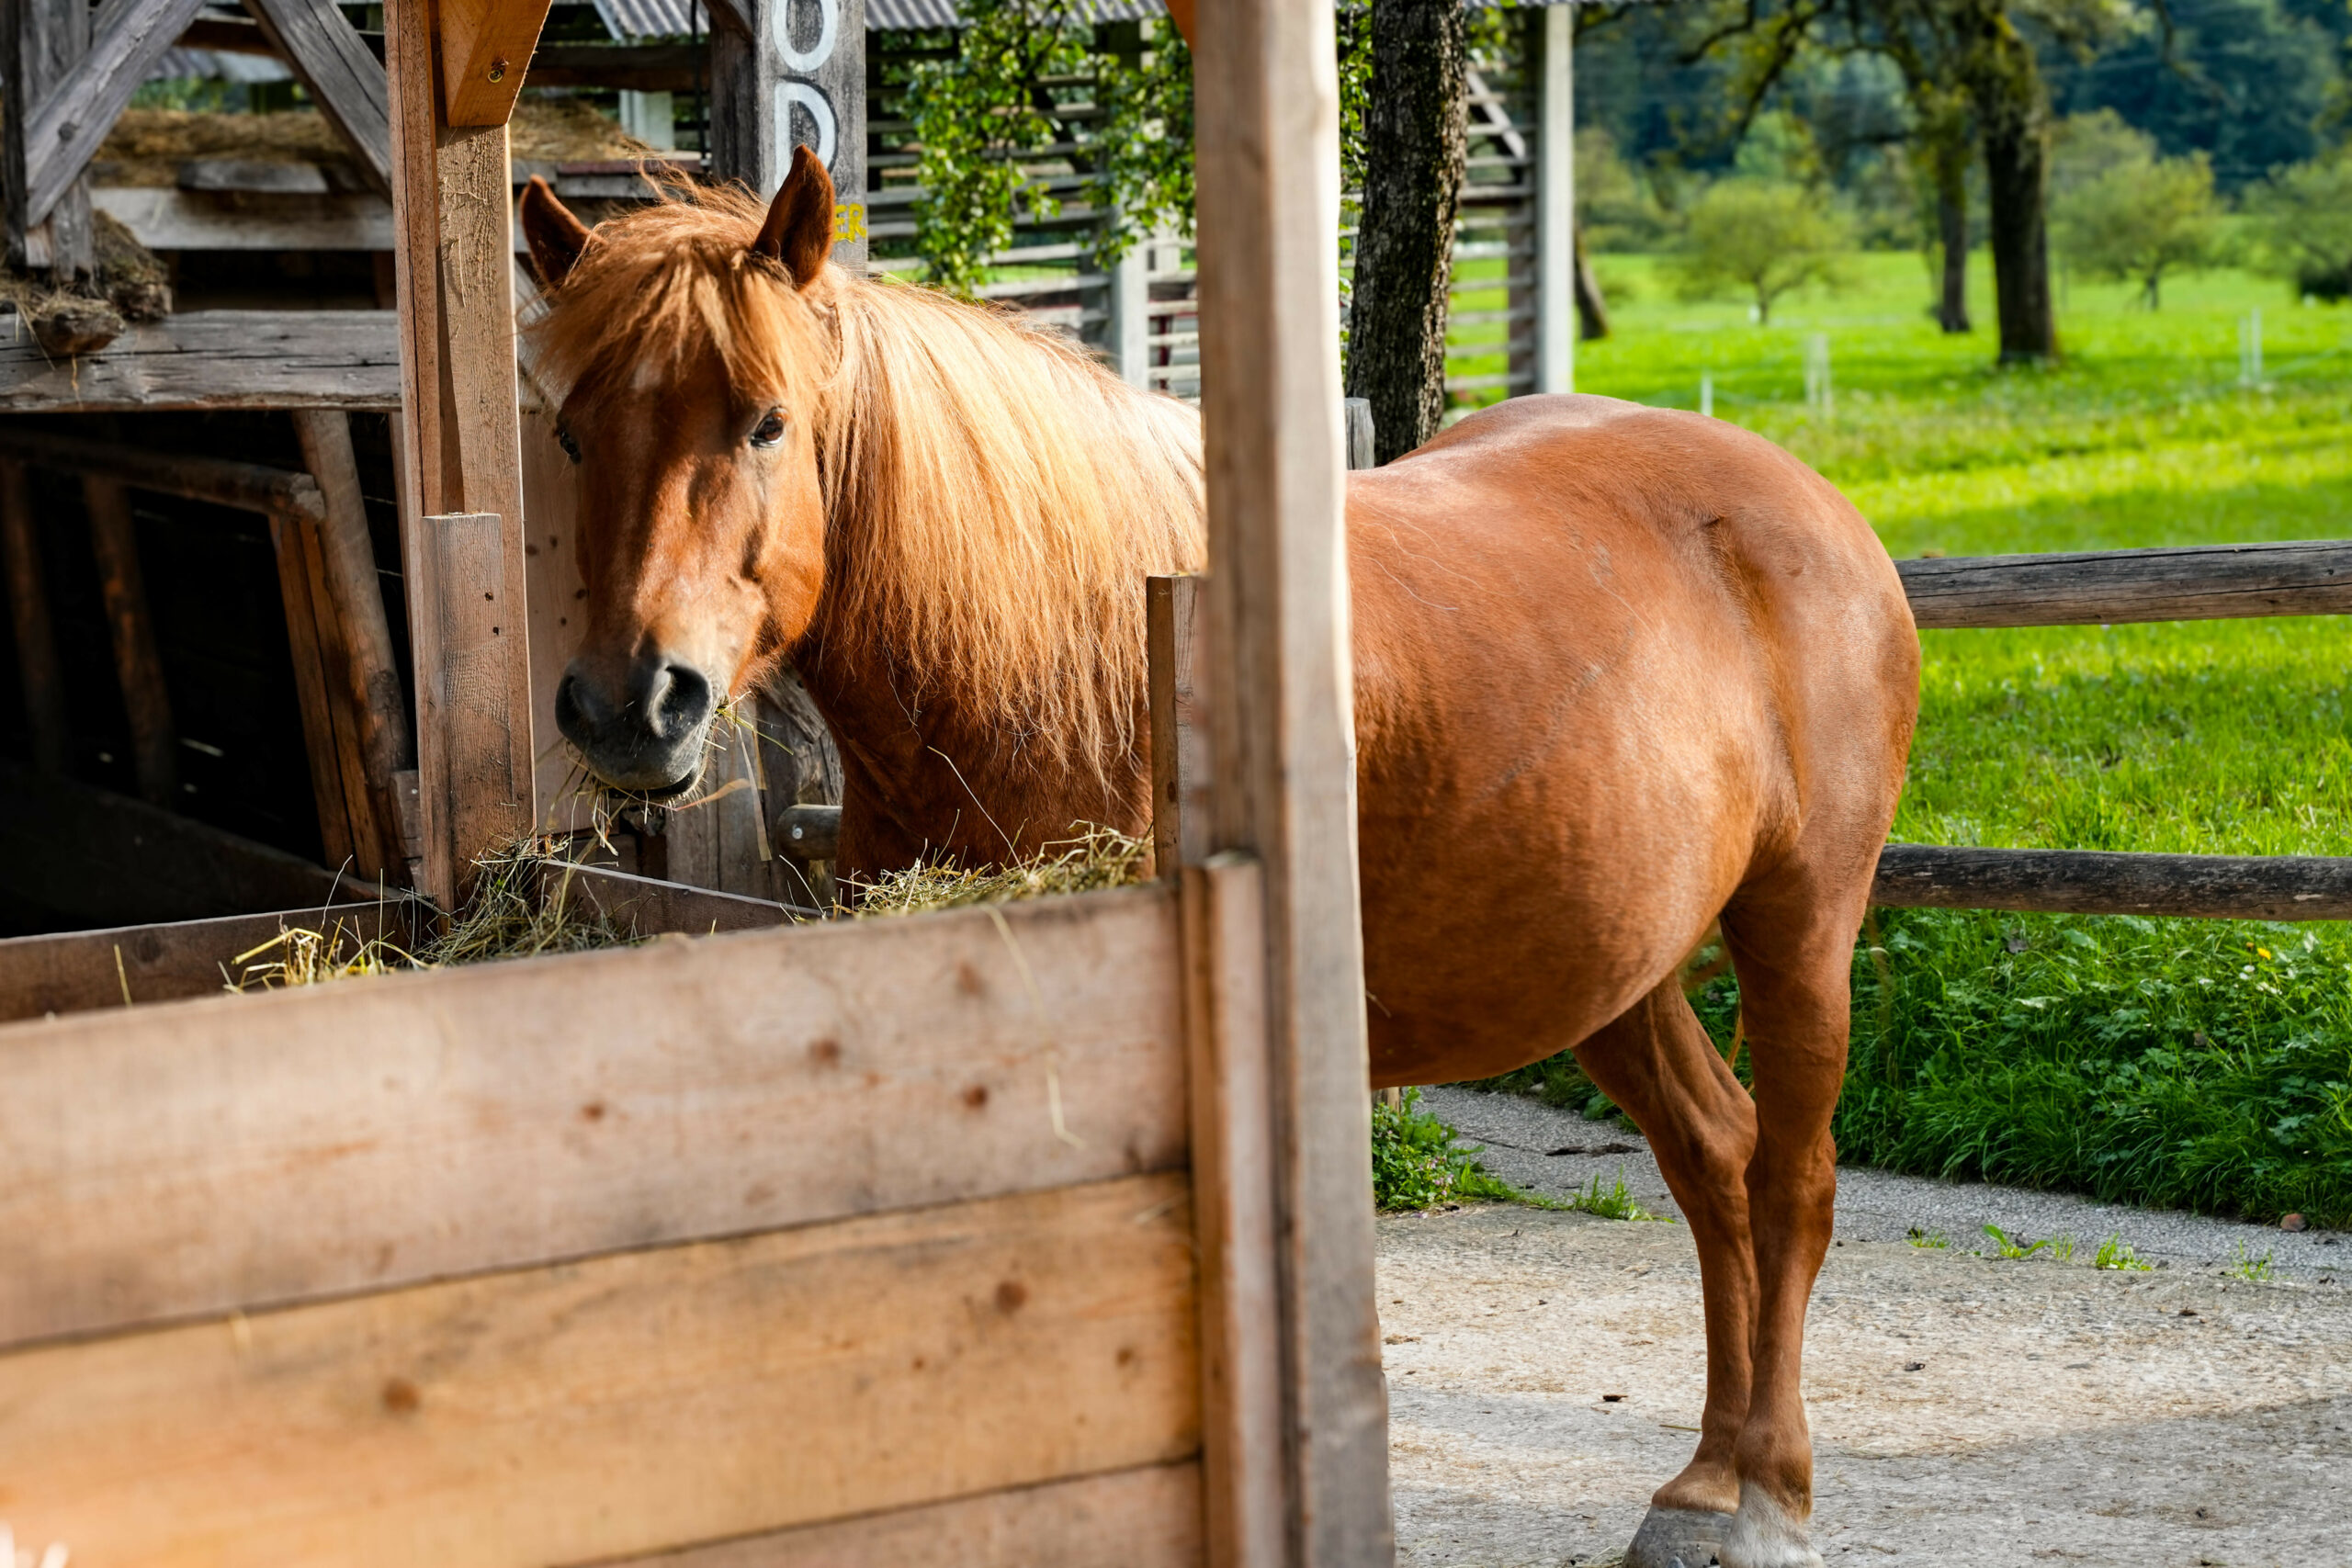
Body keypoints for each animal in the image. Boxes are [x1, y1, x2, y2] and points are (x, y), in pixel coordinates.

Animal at [518, 148, 1919, 1568]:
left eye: (765, 422)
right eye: (573, 432)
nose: (633, 706)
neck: (1043, 657)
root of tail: (1810, 506)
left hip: (1801, 925)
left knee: (1790, 1179)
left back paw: (1770, 1491)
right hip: (1612, 970)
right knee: (1714, 1159)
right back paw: (1703, 1483)